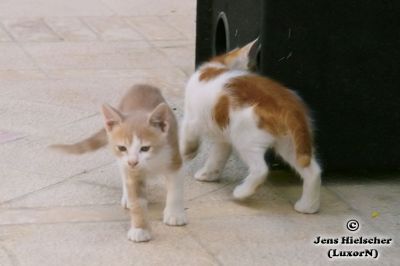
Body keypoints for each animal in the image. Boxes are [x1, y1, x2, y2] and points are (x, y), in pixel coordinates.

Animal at [51, 84, 188, 241]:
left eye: (145, 148)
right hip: (121, 160)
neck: (151, 162)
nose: (133, 161)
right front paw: (139, 228)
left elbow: (175, 191)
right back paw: (127, 197)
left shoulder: (174, 159)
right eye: (122, 148)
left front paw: (174, 214)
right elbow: (137, 201)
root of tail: (142, 85)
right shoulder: (131, 170)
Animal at [181, 40, 322, 214]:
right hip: (291, 144)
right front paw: (209, 174)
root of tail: (288, 105)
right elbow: (217, 156)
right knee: (313, 171)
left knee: (260, 170)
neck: (219, 65)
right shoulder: (223, 138)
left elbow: (187, 137)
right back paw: (308, 206)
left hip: (246, 138)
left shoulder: (191, 118)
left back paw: (242, 192)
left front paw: (187, 153)